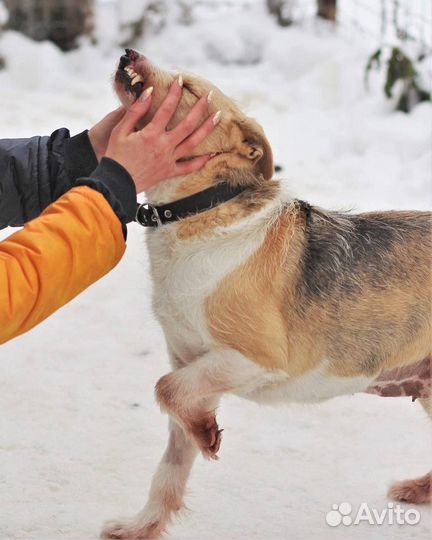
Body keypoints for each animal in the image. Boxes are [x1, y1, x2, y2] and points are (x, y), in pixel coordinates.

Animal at [102, 47, 432, 540]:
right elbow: (172, 455)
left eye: (190, 90)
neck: (200, 212)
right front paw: (143, 525)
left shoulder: (254, 359)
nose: (129, 52)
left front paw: (206, 434)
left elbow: (164, 389)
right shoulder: (194, 367)